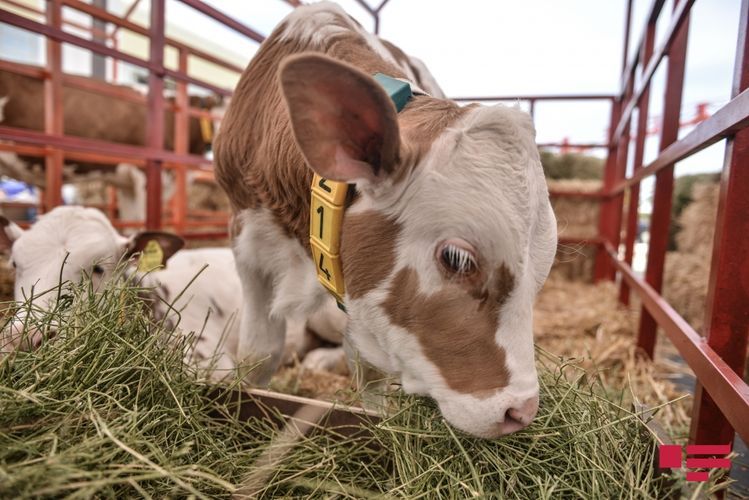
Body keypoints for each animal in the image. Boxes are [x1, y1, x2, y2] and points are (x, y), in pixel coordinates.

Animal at [214, 2, 557, 438]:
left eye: (541, 273)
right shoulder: (246, 240)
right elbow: (259, 353)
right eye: (457, 259)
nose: (521, 412)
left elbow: (370, 372)